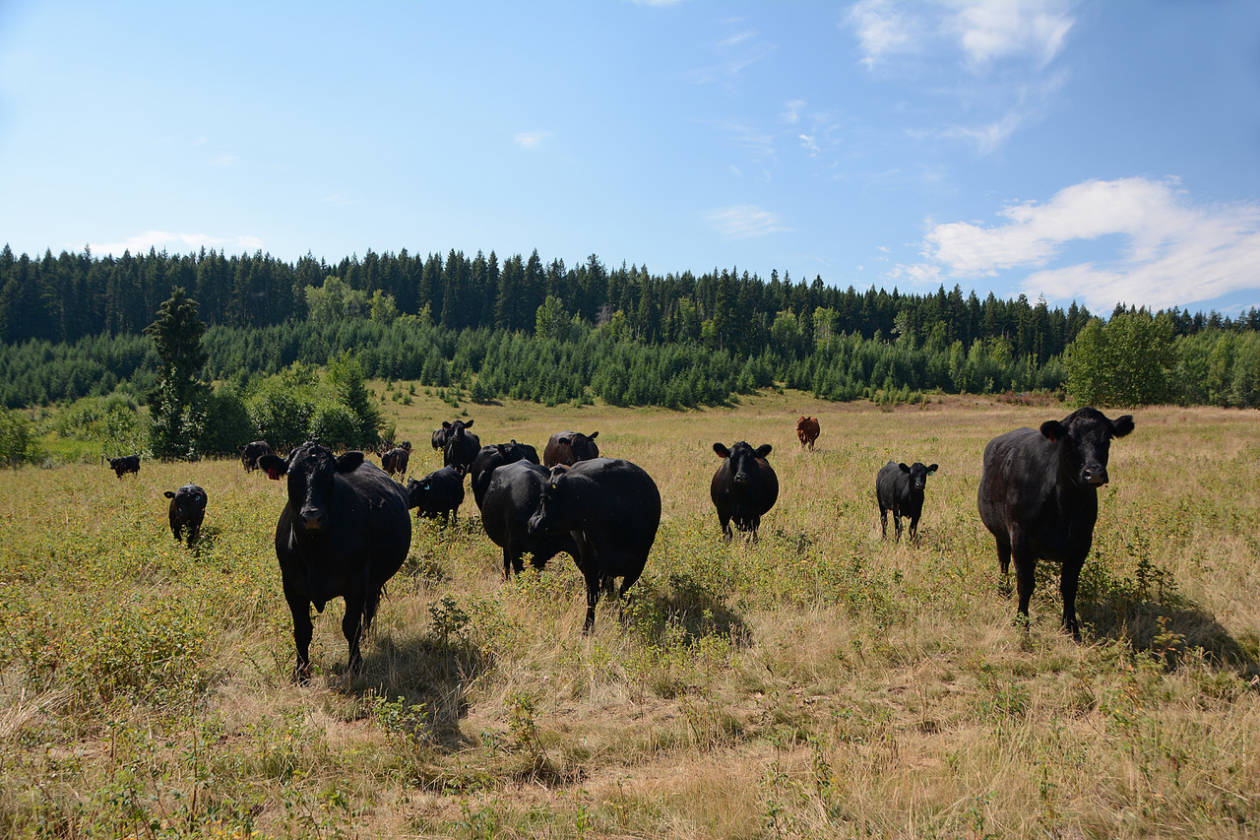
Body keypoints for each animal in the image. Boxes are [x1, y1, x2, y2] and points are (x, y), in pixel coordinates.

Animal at [257, 441, 412, 682]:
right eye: (291, 474)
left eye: (329, 475)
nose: (312, 516)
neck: (314, 552)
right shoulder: (291, 586)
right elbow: (302, 629)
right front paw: (300, 672)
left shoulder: (356, 584)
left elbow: (350, 626)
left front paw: (356, 665)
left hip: (373, 581)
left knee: (369, 609)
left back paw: (366, 639)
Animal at [527, 458, 660, 633]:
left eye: (544, 498)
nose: (531, 523)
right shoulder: (590, 563)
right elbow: (592, 596)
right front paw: (587, 628)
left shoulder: (637, 565)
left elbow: (625, 596)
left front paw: (623, 625)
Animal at [977, 407, 1134, 639]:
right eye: (1070, 439)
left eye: (1107, 438)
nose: (1094, 473)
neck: (1063, 504)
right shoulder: (1020, 537)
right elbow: (1025, 584)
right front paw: (1022, 623)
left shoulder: (1081, 542)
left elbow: (1069, 586)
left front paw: (1071, 627)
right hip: (1001, 535)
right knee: (1004, 563)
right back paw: (1003, 593)